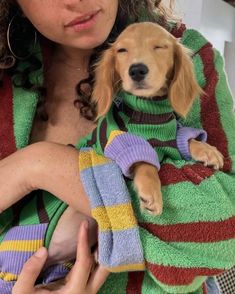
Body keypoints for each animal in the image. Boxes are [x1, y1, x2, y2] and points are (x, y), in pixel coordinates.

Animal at [91, 21, 223, 215]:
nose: (137, 70)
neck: (150, 112)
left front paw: (207, 150)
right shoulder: (119, 139)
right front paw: (151, 189)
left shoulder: (172, 137)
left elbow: (187, 140)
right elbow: (145, 162)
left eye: (159, 47)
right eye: (122, 50)